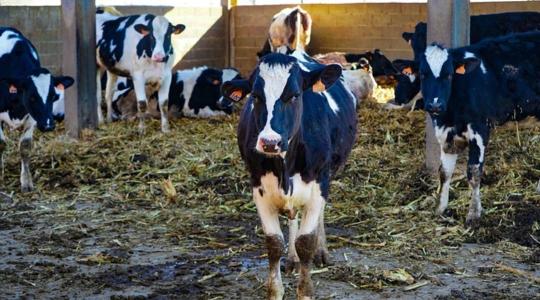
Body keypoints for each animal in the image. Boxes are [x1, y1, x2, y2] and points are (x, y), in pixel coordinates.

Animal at [0, 27, 74, 192]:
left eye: (53, 96)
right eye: (32, 97)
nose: (48, 125)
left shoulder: (32, 117)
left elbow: (25, 146)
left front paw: (26, 182)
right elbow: (0, 144)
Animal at [221, 50, 356, 298]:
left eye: (294, 95)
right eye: (255, 96)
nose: (270, 142)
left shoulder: (318, 184)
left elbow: (306, 242)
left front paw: (305, 289)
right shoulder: (259, 188)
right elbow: (274, 243)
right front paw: (276, 289)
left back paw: (321, 252)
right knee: (293, 218)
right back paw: (292, 258)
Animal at [422, 32, 540, 225]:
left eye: (449, 75)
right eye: (423, 75)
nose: (434, 105)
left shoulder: (480, 130)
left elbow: (474, 172)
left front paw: (474, 214)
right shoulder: (446, 136)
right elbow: (444, 172)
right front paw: (440, 208)